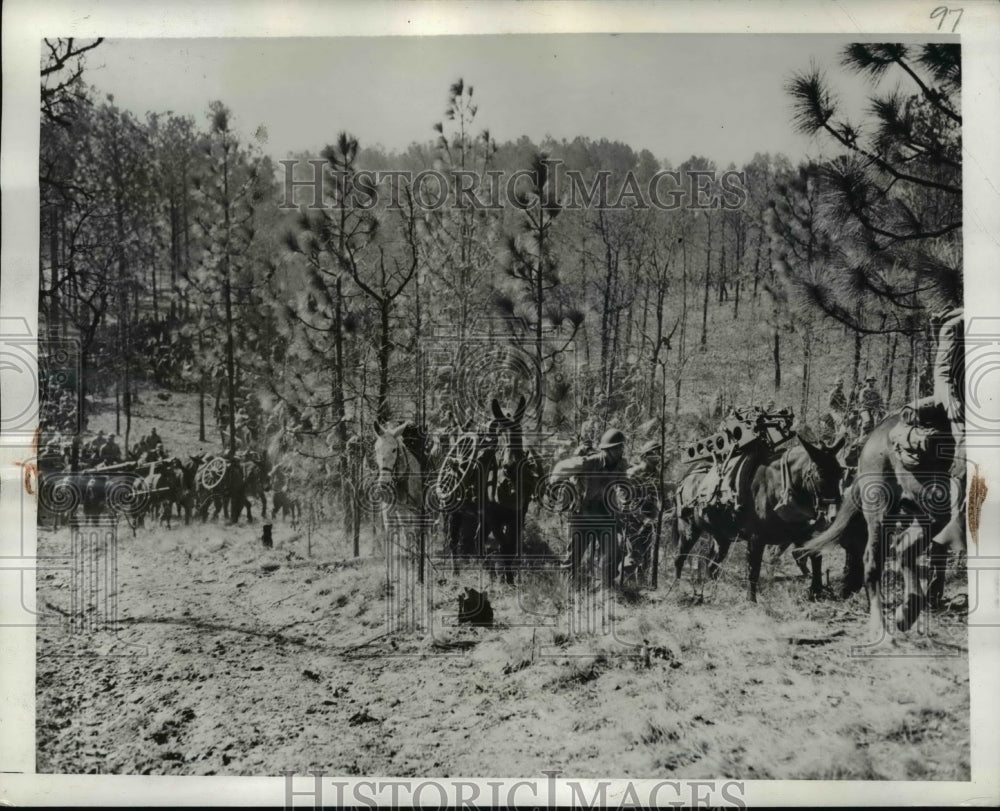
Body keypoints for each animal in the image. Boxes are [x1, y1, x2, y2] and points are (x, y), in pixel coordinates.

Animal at [672, 438, 844, 604]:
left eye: (840, 473)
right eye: (820, 474)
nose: (834, 514)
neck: (783, 485)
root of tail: (684, 480)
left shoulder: (801, 534)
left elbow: (815, 557)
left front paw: (817, 591)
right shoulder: (756, 539)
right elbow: (753, 569)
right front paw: (751, 600)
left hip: (722, 538)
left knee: (711, 566)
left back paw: (714, 593)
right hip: (688, 530)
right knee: (679, 559)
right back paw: (676, 590)